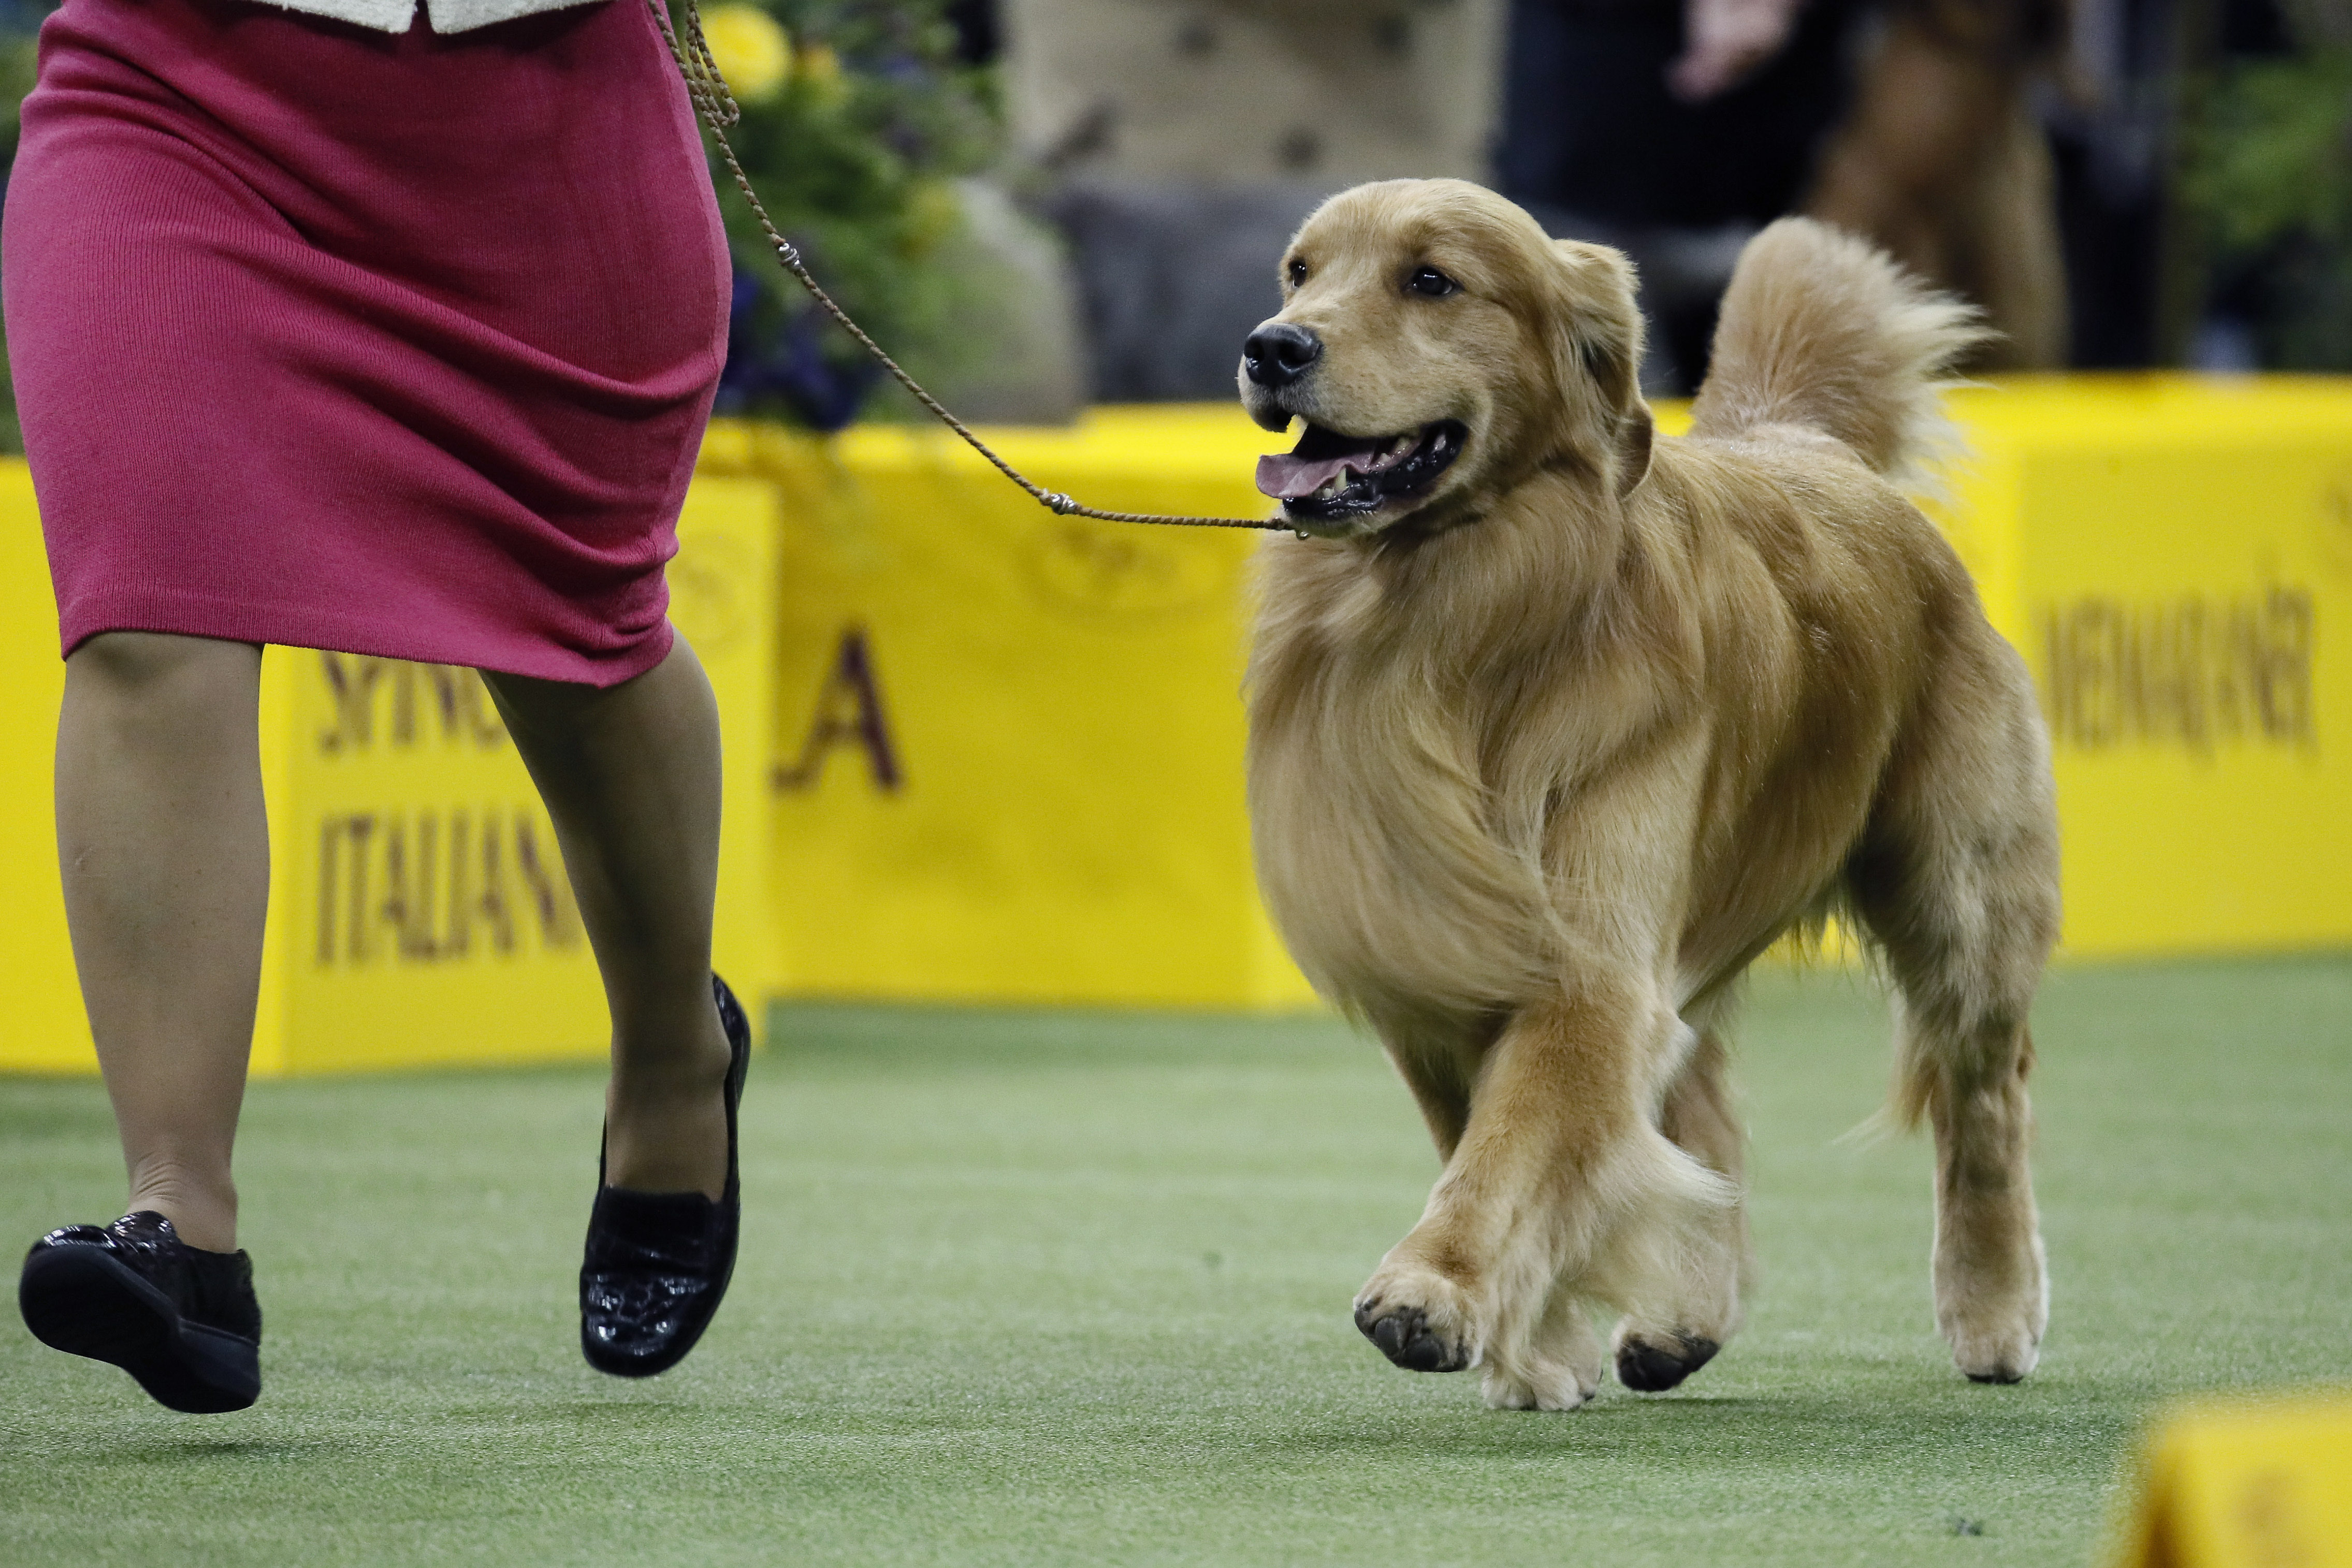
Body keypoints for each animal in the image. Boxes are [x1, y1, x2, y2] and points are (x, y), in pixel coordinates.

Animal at [1242, 181, 2051, 1410]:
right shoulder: (1441, 956)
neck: (1464, 621)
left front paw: (1433, 1287)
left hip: (1959, 897)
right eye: (1299, 273)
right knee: (1700, 1103)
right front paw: (1540, 1345)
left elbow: (1510, 1142)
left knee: (1986, 1097)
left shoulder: (1584, 965)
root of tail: (1800, 441)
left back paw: (1993, 1307)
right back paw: (1685, 1315)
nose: (1272, 347)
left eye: (1431, 280)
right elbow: (1505, 1133)